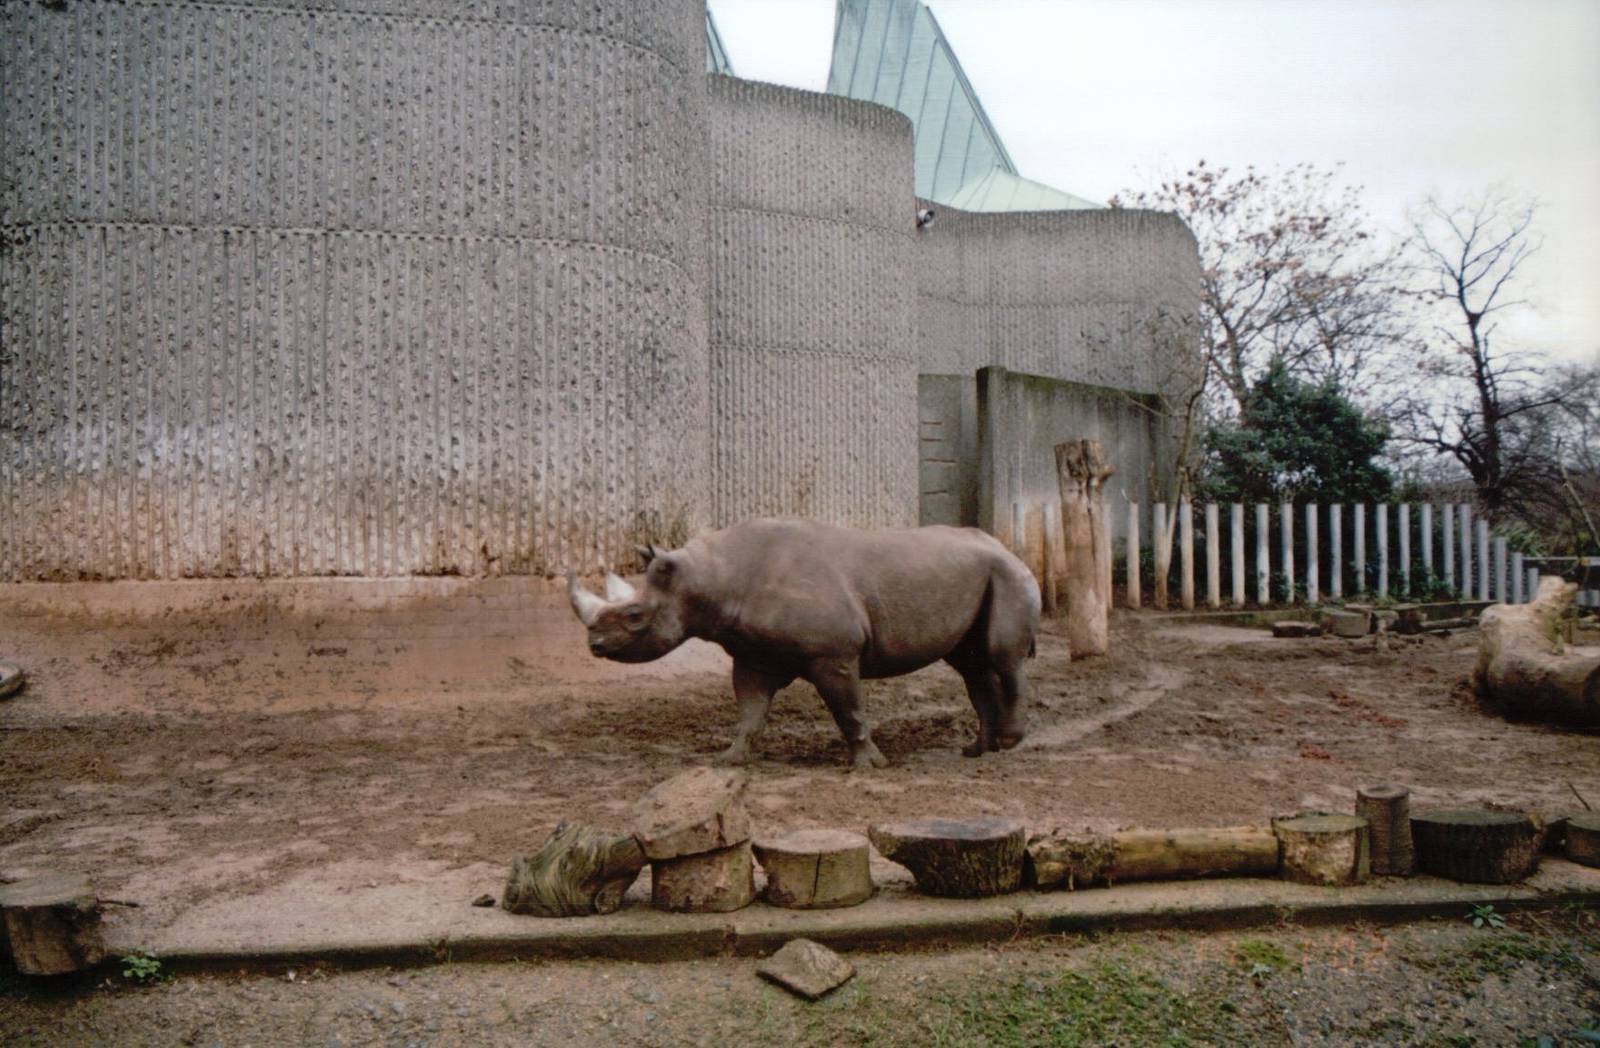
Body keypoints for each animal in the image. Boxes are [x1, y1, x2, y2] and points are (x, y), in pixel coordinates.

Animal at [566, 518, 1040, 769]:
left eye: (634, 617)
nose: (595, 646)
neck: (710, 578)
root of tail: (1007, 546)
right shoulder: (753, 655)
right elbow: (750, 712)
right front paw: (729, 760)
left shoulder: (834, 652)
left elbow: (848, 709)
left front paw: (869, 766)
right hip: (980, 574)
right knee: (971, 664)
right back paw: (978, 752)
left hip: (1008, 574)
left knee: (1002, 657)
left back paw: (1009, 743)